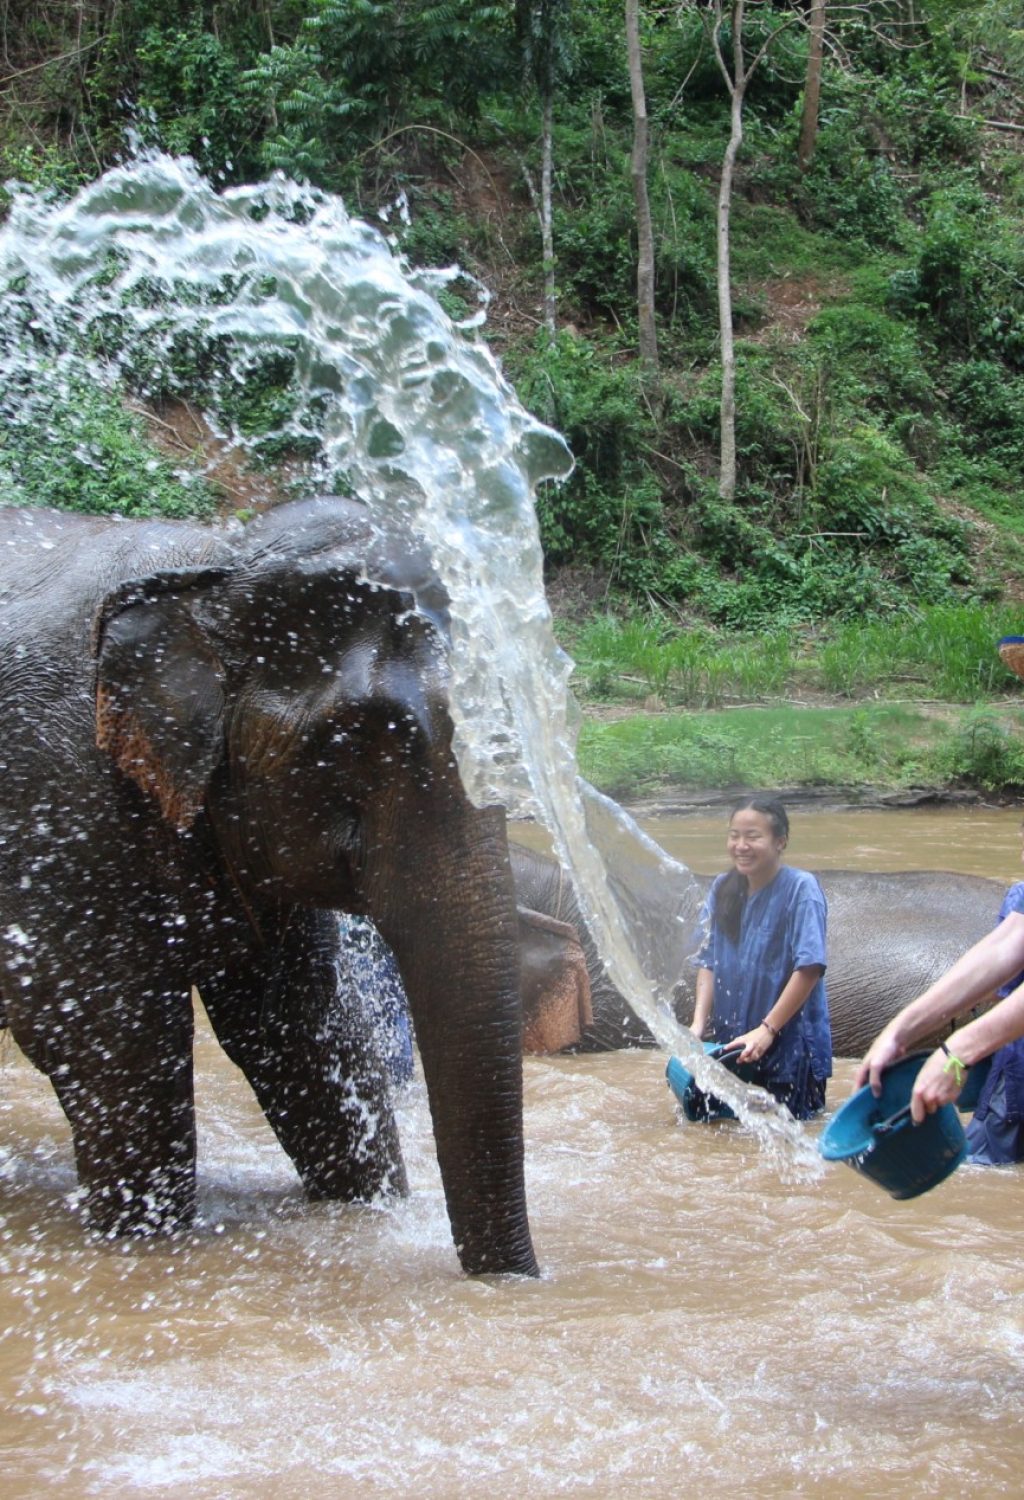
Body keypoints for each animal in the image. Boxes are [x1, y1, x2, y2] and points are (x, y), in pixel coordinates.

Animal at [0, 496, 537, 1277]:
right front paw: (143, 1243)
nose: (519, 1283)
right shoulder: (52, 807)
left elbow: (299, 1025)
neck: (213, 563)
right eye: (355, 740)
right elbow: (111, 1035)